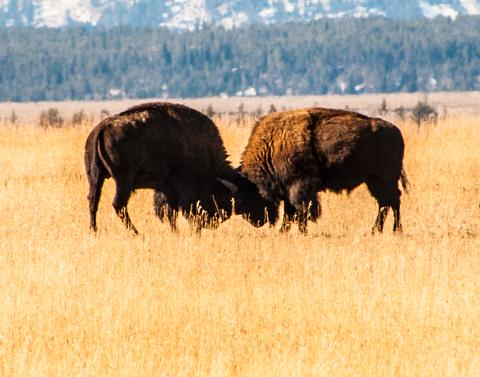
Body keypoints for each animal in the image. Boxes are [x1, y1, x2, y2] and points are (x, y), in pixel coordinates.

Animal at [84, 101, 276, 234]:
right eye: (247, 198)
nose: (262, 220)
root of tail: (102, 127)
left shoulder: (167, 189)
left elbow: (171, 213)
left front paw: (175, 232)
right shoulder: (182, 189)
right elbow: (180, 211)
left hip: (95, 177)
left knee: (93, 201)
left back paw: (94, 231)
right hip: (124, 181)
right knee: (119, 205)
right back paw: (137, 233)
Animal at [240, 106, 408, 232]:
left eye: (250, 193)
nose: (254, 220)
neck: (273, 145)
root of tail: (396, 132)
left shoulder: (300, 186)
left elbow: (301, 210)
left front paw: (302, 231)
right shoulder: (289, 190)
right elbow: (290, 213)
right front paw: (283, 231)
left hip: (384, 179)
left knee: (392, 200)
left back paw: (395, 230)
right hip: (373, 181)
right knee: (385, 202)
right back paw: (377, 231)